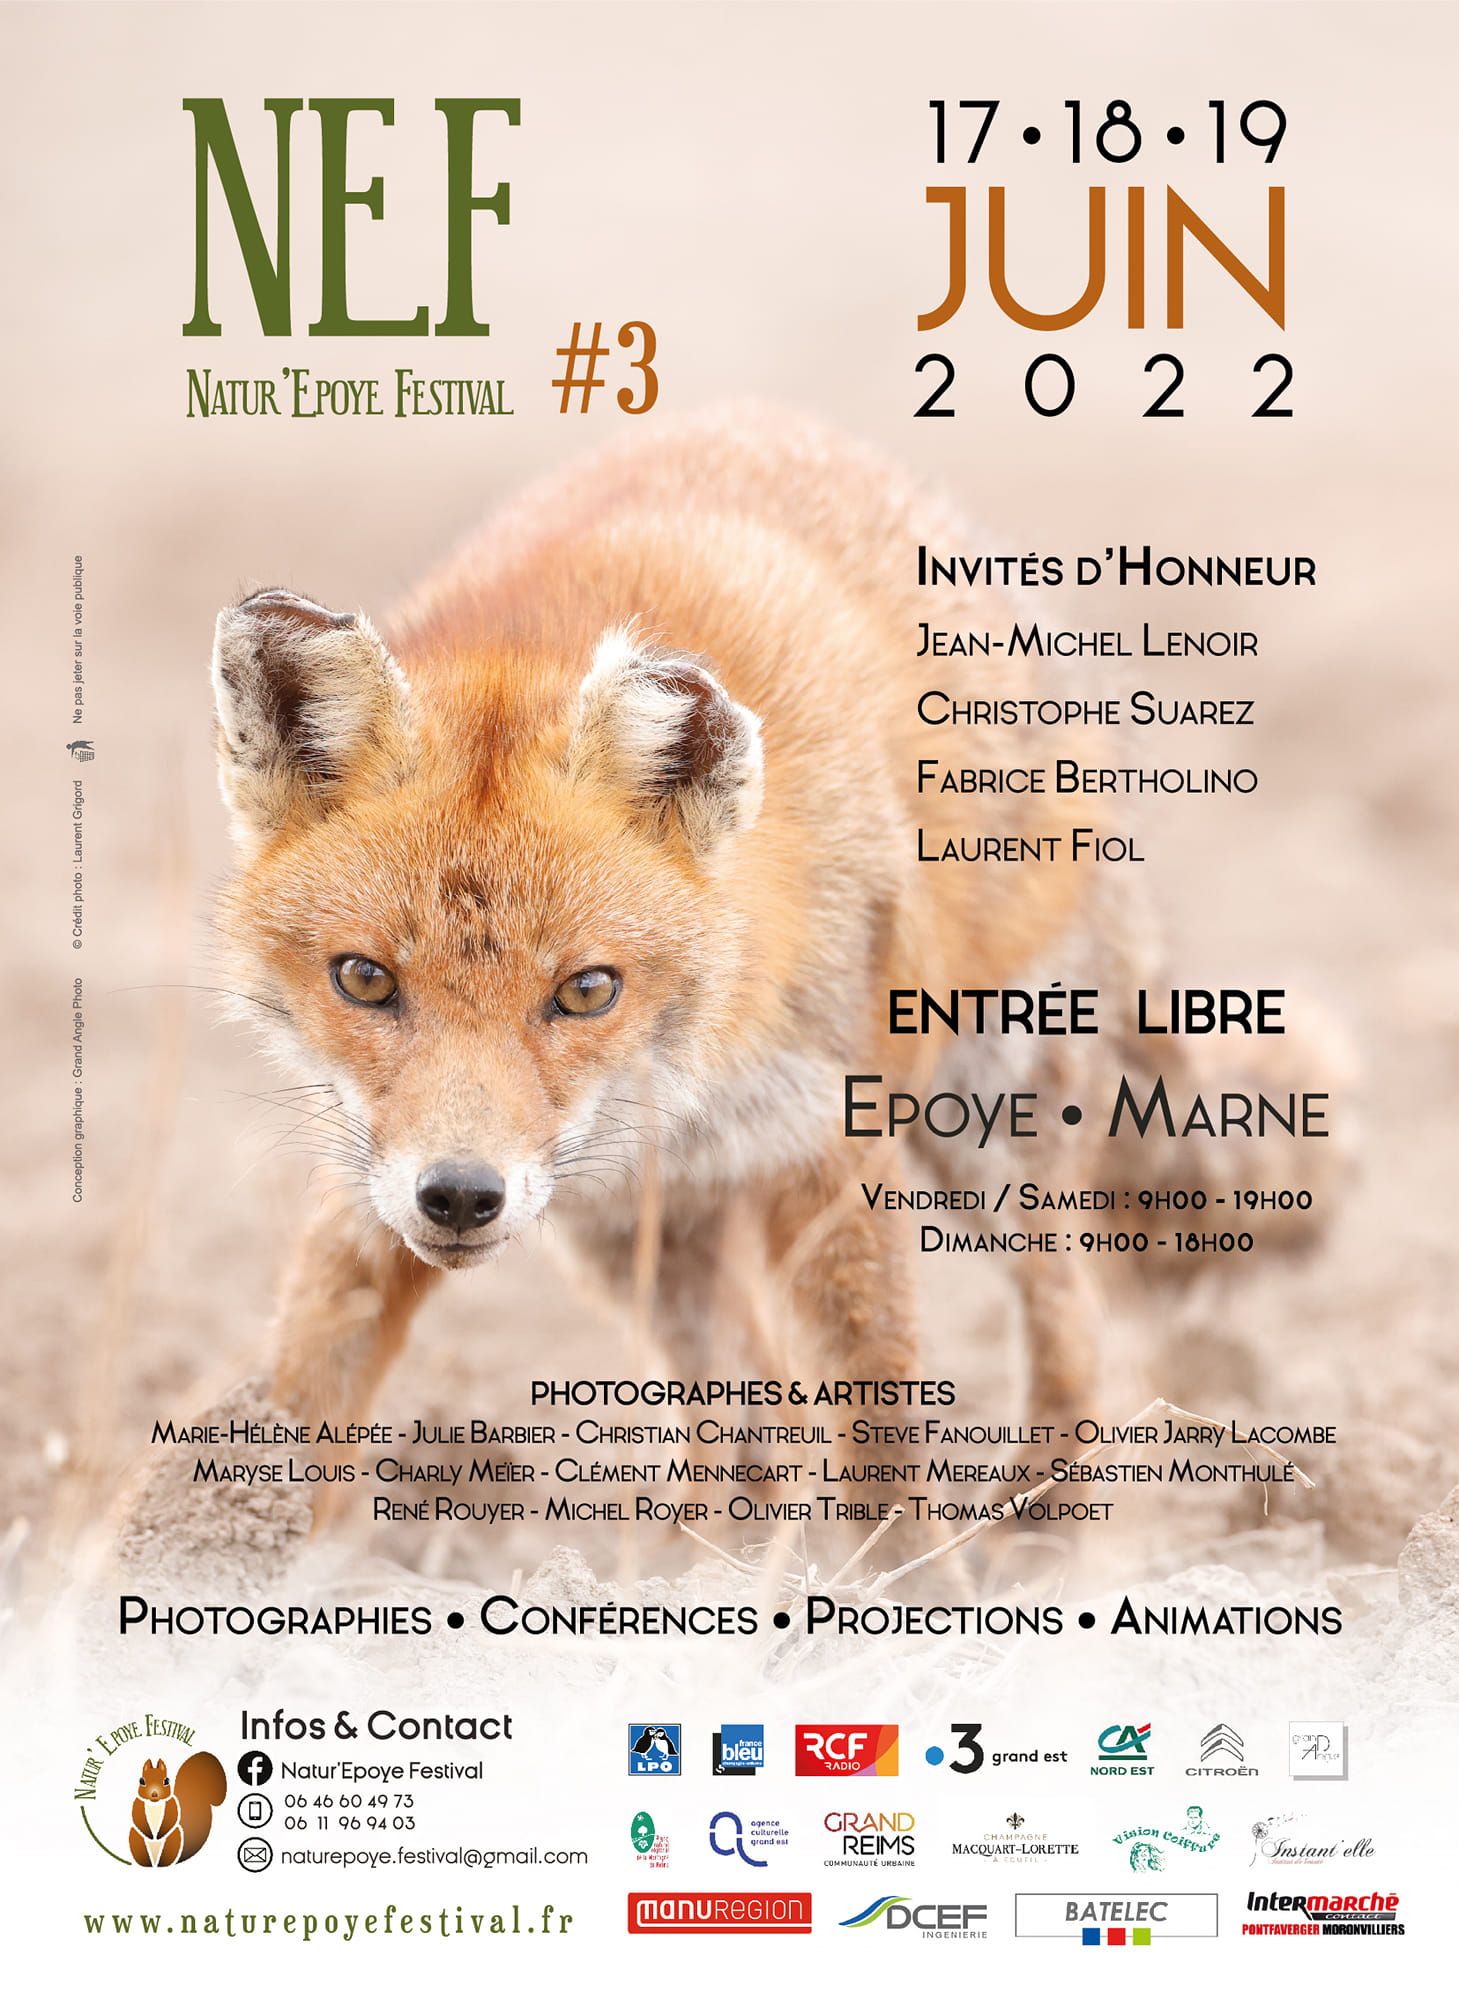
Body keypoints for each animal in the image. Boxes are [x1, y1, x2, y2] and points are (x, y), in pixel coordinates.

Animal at [208, 409, 1330, 1550]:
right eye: (362, 978)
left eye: (586, 990)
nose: (461, 1196)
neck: (693, 1079)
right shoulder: (374, 1172)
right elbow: (309, 1368)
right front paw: (225, 1546)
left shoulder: (826, 1146)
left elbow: (879, 1416)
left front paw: (906, 1577)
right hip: (633, 1235)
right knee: (753, 1393)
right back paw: (710, 1548)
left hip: (987, 1129)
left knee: (1063, 1304)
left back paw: (1042, 1513)